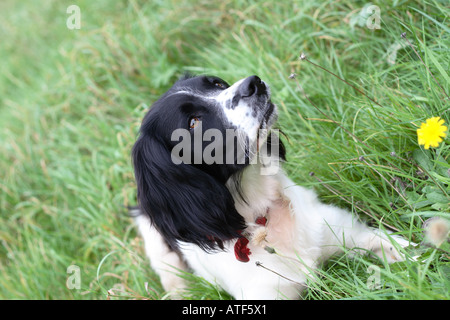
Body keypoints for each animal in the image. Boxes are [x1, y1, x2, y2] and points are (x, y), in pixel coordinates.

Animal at [131, 75, 412, 300]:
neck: (260, 210)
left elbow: (403, 248)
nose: (252, 83)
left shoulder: (351, 232)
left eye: (217, 84)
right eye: (193, 122)